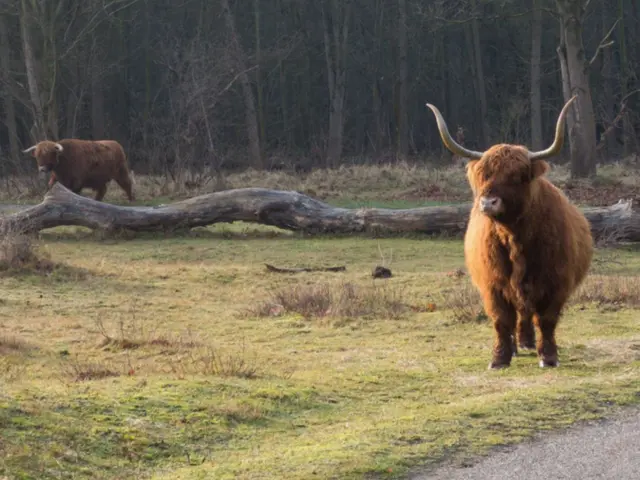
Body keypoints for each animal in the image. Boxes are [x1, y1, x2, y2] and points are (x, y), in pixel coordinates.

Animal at [424, 94, 596, 372]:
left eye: (517, 176)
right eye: (484, 175)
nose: (488, 202)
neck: (514, 237)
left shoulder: (555, 283)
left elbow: (546, 320)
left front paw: (548, 357)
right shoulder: (492, 285)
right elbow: (501, 321)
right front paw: (499, 358)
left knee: (527, 314)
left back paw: (527, 343)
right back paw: (518, 346)